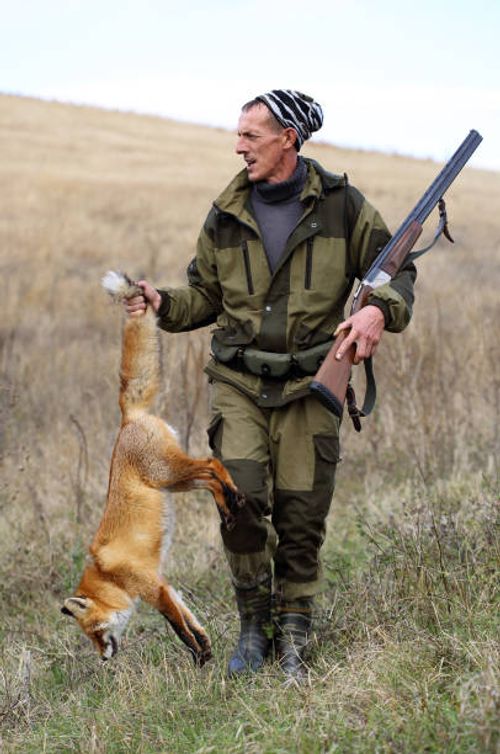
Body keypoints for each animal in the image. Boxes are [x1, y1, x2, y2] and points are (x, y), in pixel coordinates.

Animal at [61, 271, 244, 665]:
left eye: (95, 633)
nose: (103, 658)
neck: (110, 577)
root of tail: (127, 418)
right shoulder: (165, 585)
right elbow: (188, 618)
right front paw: (205, 647)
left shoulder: (152, 588)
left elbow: (177, 626)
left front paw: (197, 654)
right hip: (172, 482)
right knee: (209, 477)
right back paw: (229, 504)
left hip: (168, 471)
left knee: (212, 463)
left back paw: (232, 500)